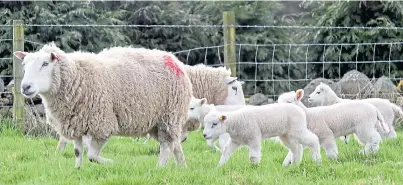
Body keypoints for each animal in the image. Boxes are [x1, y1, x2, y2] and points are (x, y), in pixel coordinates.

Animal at [14, 42, 194, 168]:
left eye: (45, 64)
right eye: (24, 65)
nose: (25, 87)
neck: (77, 76)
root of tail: (173, 59)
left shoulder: (103, 124)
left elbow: (92, 156)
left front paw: (112, 163)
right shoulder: (75, 123)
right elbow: (78, 152)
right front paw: (78, 169)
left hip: (169, 115)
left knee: (166, 146)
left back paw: (159, 168)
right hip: (159, 122)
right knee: (175, 144)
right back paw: (182, 167)